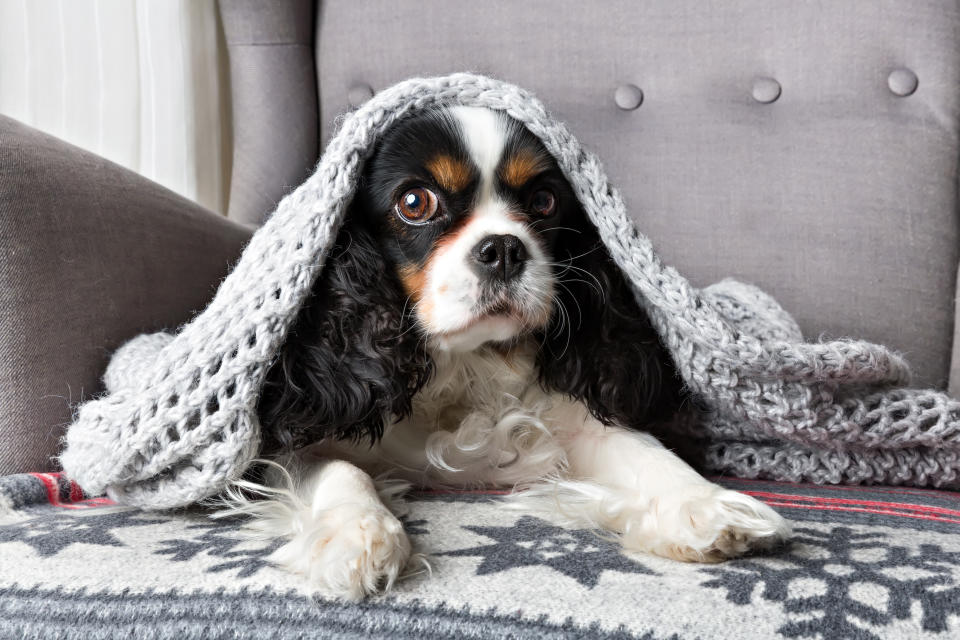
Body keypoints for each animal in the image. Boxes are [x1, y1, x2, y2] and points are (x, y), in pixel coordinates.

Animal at [223, 105, 788, 600]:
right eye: (415, 202)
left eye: (543, 201)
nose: (504, 248)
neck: (463, 363)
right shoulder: (288, 442)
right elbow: (339, 467)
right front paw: (357, 534)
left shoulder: (571, 422)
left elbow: (642, 448)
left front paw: (705, 505)